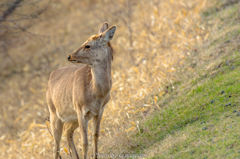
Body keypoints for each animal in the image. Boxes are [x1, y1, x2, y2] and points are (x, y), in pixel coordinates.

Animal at [46, 22, 116, 159]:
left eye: (87, 45)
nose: (70, 56)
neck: (96, 93)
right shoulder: (81, 110)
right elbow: (84, 142)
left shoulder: (99, 110)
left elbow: (95, 135)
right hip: (54, 114)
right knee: (56, 146)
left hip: (71, 118)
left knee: (67, 132)